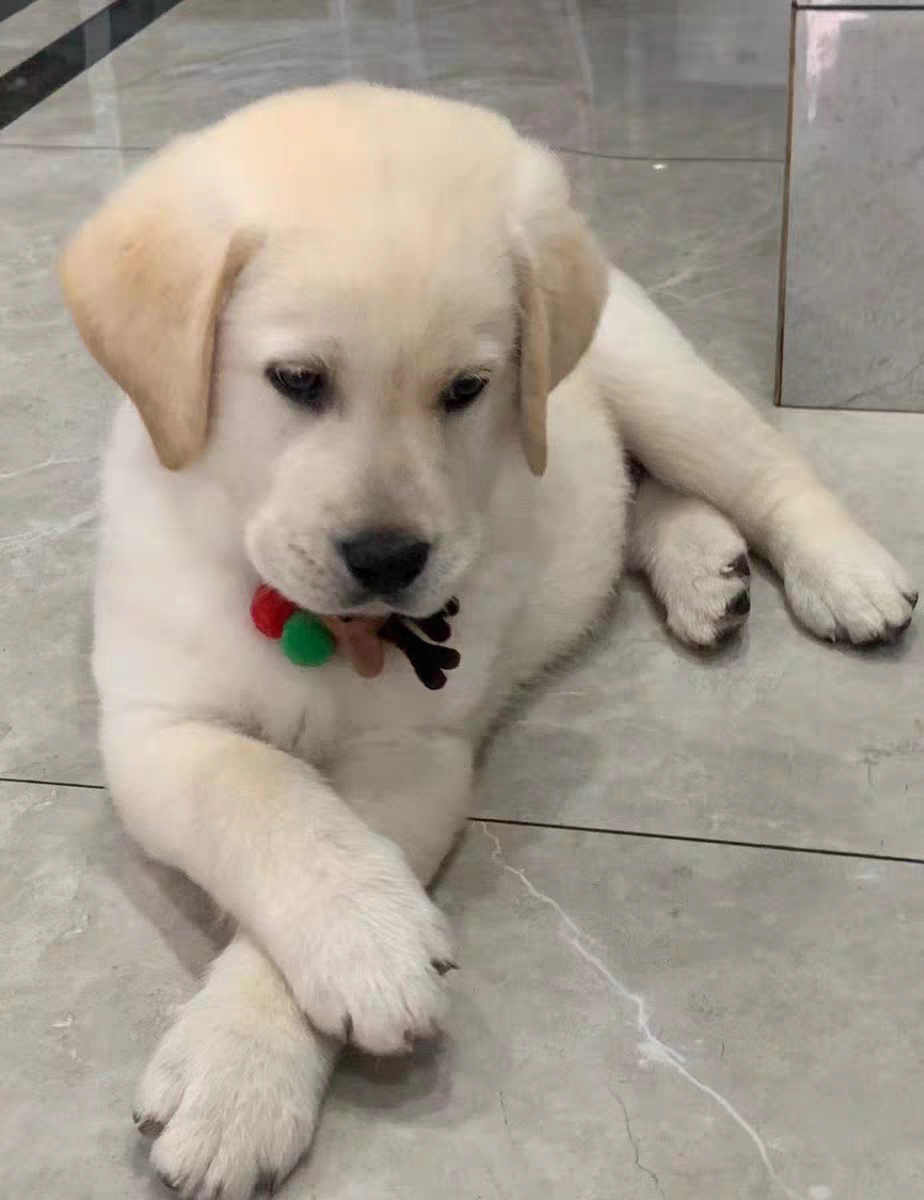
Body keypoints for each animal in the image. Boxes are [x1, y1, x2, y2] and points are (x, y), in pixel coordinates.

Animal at [59, 84, 916, 1199]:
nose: (390, 559)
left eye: (465, 390)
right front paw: (341, 962)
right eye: (296, 379)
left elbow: (336, 827)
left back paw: (841, 571)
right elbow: (268, 799)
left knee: (758, 468)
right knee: (634, 491)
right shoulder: (158, 726)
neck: (306, 622)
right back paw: (704, 569)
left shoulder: (414, 752)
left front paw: (261, 1051)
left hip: (654, 378)